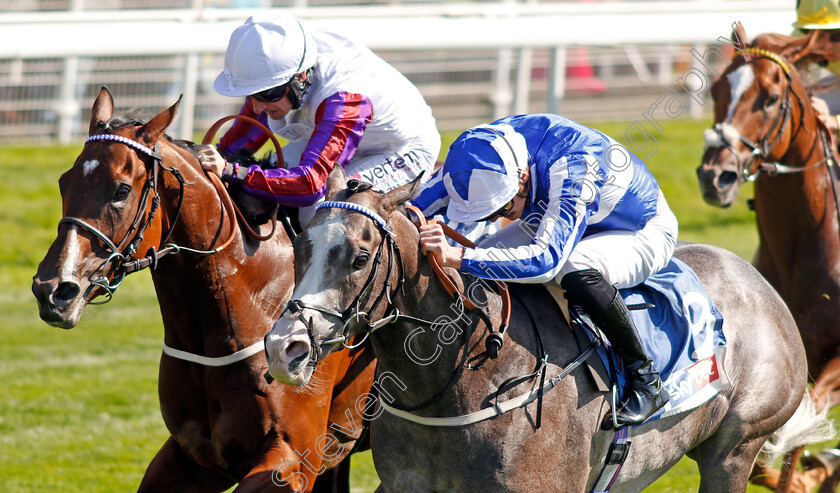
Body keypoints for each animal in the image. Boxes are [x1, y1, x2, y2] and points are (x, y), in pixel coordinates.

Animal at [266, 166, 832, 492]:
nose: (282, 347)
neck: (465, 378)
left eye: (360, 257)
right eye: (299, 248)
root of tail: (758, 281)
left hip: (734, 450)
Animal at [696, 31, 840, 492]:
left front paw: (807, 474)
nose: (715, 176)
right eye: (717, 91)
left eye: (771, 99)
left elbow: (805, 419)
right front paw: (804, 475)